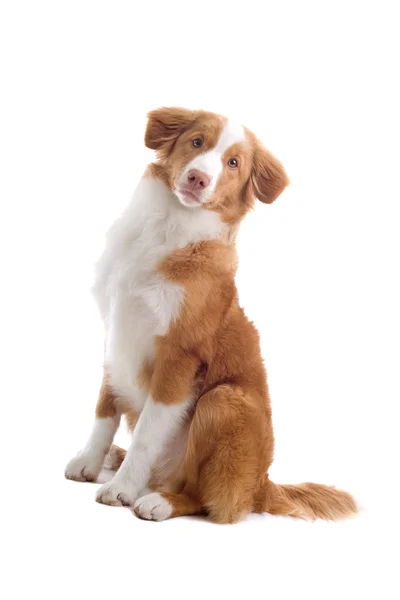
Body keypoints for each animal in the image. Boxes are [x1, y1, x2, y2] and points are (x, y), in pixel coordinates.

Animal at [65, 110, 356, 524]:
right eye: (197, 142)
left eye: (233, 163)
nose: (198, 178)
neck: (165, 230)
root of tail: (262, 485)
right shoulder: (115, 334)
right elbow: (105, 409)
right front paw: (89, 460)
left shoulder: (179, 356)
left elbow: (147, 433)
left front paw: (121, 487)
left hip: (223, 400)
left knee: (207, 498)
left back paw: (157, 500)